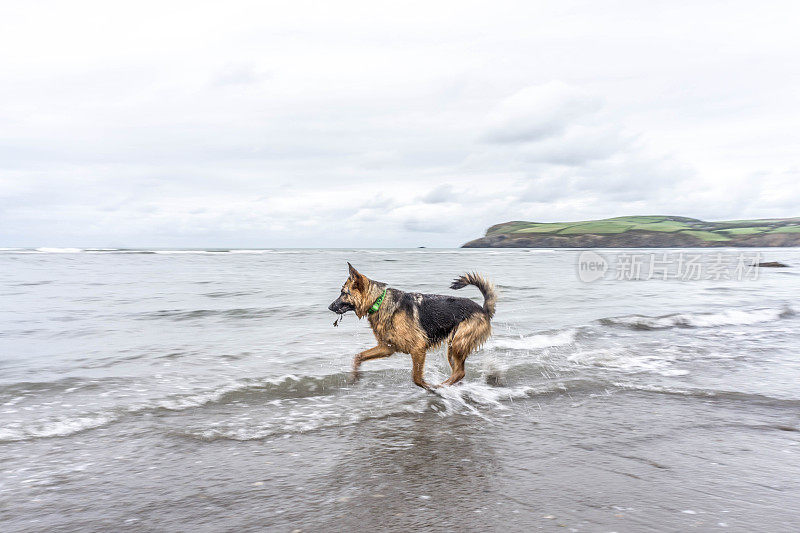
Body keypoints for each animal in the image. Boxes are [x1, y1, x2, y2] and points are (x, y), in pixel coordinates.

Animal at [330, 262, 494, 390]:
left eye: (343, 293)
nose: (329, 307)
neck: (378, 301)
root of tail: (483, 310)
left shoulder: (418, 348)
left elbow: (416, 377)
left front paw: (428, 387)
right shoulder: (386, 348)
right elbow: (358, 356)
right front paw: (355, 377)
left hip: (458, 343)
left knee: (459, 373)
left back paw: (441, 386)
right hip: (452, 347)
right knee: (459, 372)